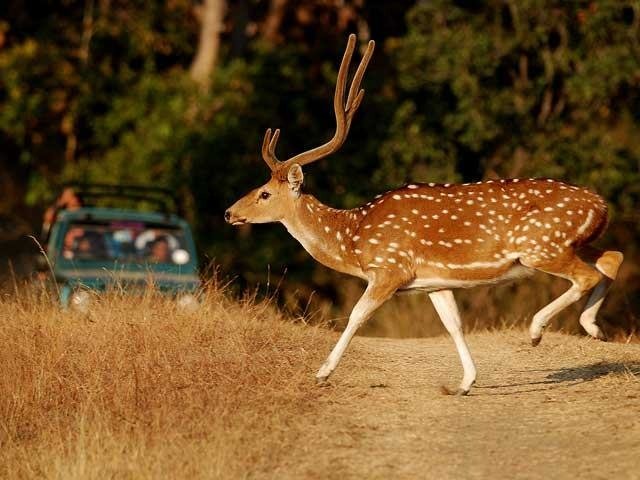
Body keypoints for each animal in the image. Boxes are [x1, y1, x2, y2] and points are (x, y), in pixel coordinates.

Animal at [224, 33, 620, 394]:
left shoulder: (389, 268)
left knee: (586, 274)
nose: (229, 213)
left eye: (264, 193)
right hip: (570, 242)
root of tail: (601, 204)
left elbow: (356, 315)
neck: (353, 239)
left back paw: (539, 331)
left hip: (541, 245)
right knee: (611, 258)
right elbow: (453, 324)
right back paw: (595, 328)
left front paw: (322, 373)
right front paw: (465, 383)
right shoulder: (435, 281)